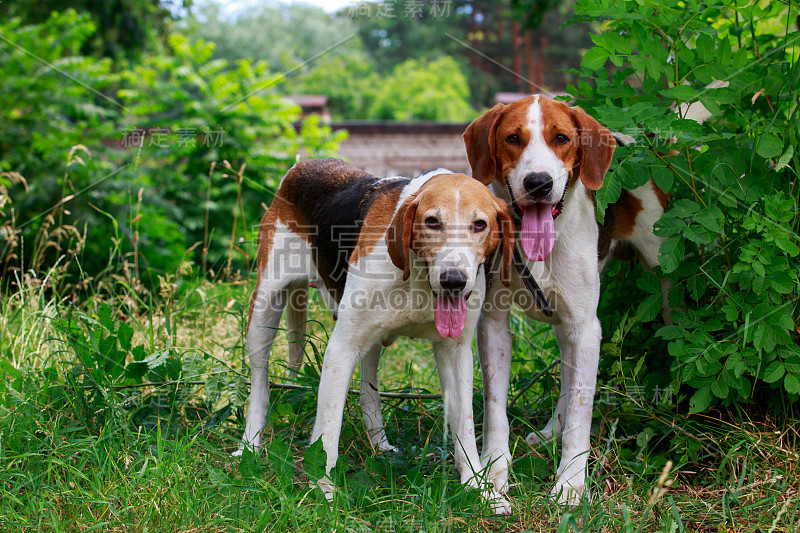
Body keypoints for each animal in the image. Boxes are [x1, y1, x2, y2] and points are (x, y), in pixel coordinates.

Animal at [234, 157, 516, 512]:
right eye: (432, 222)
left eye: (480, 225)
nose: (454, 280)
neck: (417, 278)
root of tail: (304, 164)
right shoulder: (341, 348)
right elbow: (327, 430)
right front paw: (323, 492)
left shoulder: (456, 353)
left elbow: (464, 426)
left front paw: (478, 490)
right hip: (264, 309)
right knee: (259, 385)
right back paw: (250, 444)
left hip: (369, 340)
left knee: (369, 395)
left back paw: (379, 444)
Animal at [460, 94, 672, 502]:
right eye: (513, 138)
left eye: (560, 138)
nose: (538, 183)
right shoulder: (493, 324)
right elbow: (495, 407)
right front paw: (494, 467)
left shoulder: (587, 328)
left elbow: (581, 411)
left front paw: (571, 482)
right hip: (563, 321)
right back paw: (548, 433)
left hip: (664, 282)